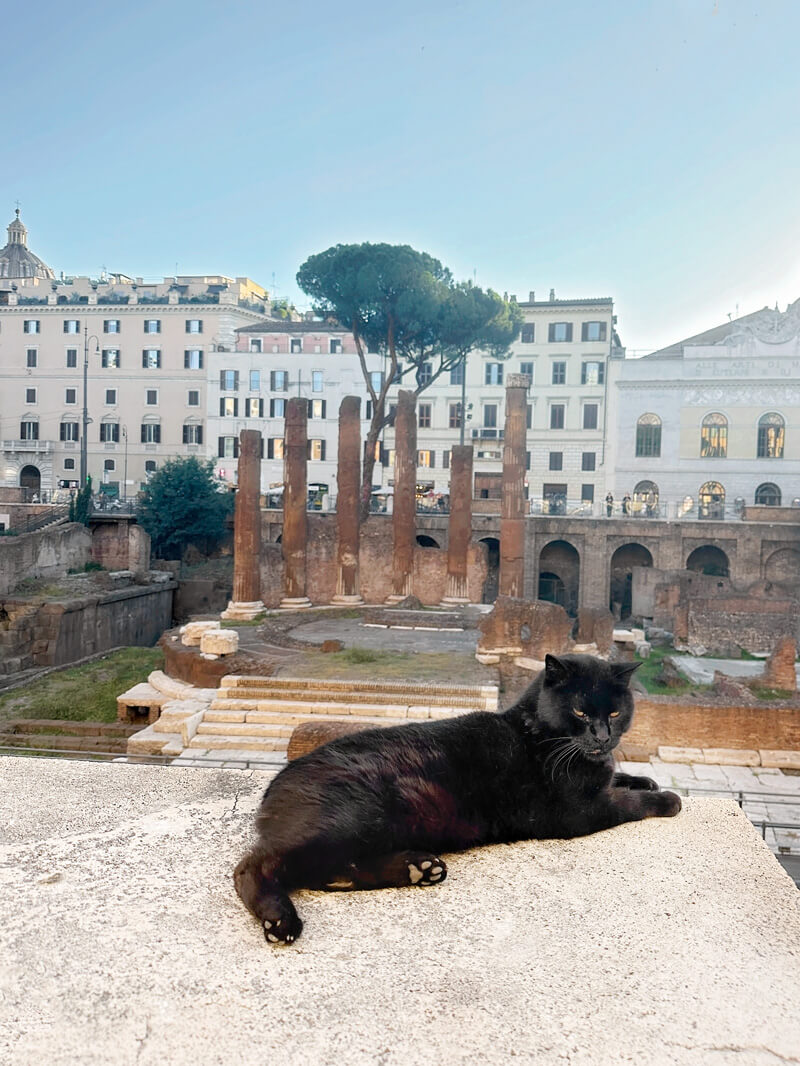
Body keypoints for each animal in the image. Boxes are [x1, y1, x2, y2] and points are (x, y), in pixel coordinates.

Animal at [234, 648, 678, 942]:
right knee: (256, 866)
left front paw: (645, 780)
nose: (603, 737)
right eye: (582, 712)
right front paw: (668, 799)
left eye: (616, 713)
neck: (541, 734)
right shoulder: (574, 811)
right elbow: (624, 804)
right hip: (352, 819)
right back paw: (280, 921)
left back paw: (421, 869)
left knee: (333, 872)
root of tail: (276, 785)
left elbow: (622, 780)